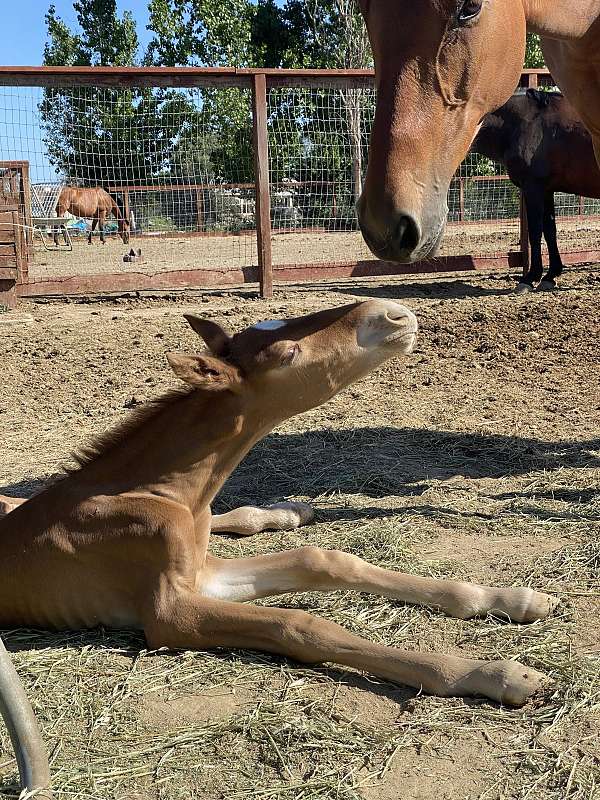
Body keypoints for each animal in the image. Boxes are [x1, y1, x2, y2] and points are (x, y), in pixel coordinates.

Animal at [0, 300, 556, 724]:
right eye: (289, 353)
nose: (394, 314)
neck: (166, 493)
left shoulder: (204, 572)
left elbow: (323, 560)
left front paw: (513, 598)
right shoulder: (169, 615)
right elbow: (300, 624)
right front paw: (496, 673)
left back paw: (285, 510)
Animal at [356, 0, 600, 272]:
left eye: (471, 6)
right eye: (362, 9)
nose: (384, 225)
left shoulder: (535, 187)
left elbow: (537, 232)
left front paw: (532, 275)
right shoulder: (546, 188)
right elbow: (549, 231)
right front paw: (550, 272)